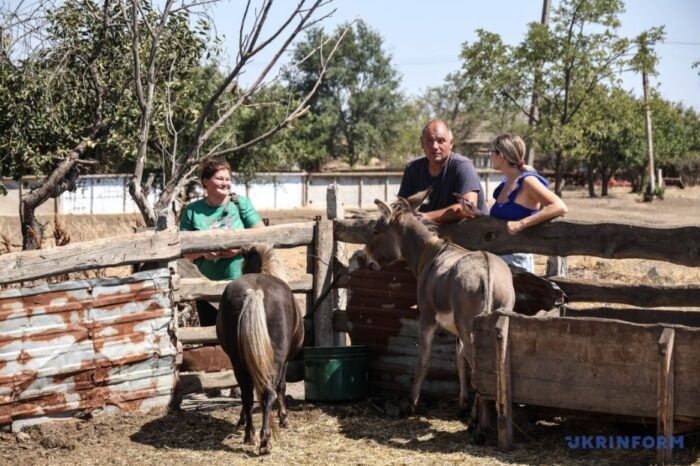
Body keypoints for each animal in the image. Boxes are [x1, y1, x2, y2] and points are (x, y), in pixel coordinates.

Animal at [216, 243, 304, 455]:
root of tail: (255, 292)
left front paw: (241, 421)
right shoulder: (285, 362)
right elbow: (281, 387)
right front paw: (284, 419)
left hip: (237, 360)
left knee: (247, 394)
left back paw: (250, 435)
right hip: (276, 360)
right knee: (268, 392)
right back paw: (265, 441)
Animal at [356, 190, 516, 442]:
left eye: (376, 232)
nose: (363, 259)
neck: (430, 254)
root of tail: (487, 270)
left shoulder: (428, 320)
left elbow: (422, 361)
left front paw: (411, 404)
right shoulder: (456, 331)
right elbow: (459, 361)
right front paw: (462, 404)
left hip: (467, 328)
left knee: (480, 370)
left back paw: (480, 427)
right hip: (496, 320)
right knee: (492, 367)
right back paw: (486, 419)